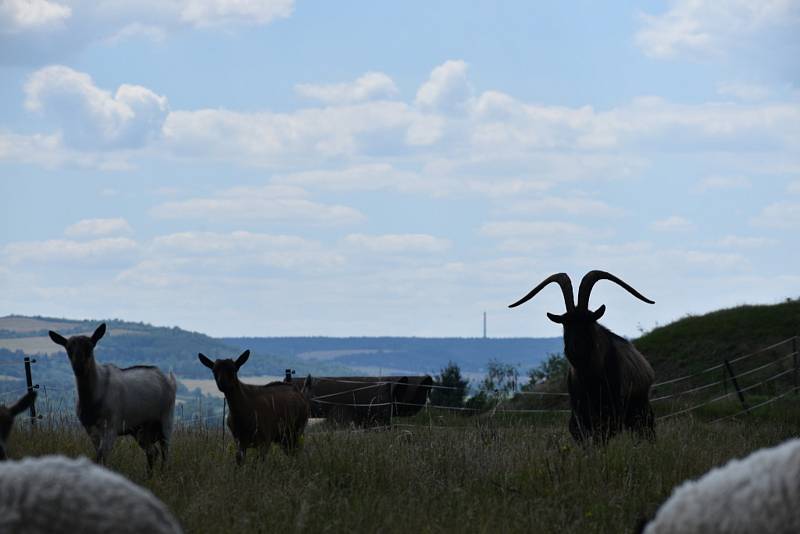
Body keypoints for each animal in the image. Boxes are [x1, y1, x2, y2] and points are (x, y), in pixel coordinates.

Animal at [49, 324, 177, 476]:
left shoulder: (111, 426)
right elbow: (98, 455)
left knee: (165, 452)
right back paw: (149, 476)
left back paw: (163, 475)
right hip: (140, 429)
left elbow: (102, 455)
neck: (93, 399)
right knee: (152, 452)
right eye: (68, 348)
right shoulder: (90, 428)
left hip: (166, 418)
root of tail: (170, 381)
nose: (79, 367)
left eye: (90, 347)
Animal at [512, 272, 656, 444]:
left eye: (587, 321)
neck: (589, 378)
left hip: (641, 411)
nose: (575, 350)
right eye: (565, 324)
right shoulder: (579, 418)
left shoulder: (609, 414)